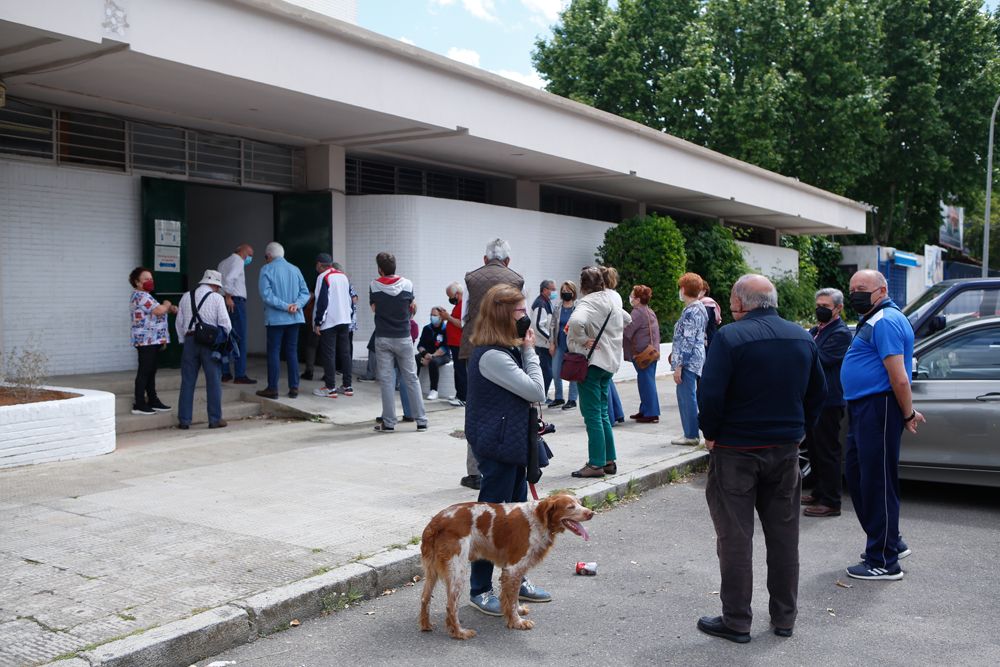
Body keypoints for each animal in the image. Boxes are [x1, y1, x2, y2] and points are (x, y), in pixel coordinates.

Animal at [416, 494, 588, 640]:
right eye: (570, 507)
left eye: (579, 503)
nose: (590, 513)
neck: (537, 518)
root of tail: (435, 522)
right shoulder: (513, 568)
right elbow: (511, 599)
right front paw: (518, 622)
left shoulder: (514, 570)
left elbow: (514, 596)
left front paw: (518, 612)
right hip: (458, 570)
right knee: (450, 606)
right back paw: (460, 633)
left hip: (432, 571)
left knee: (425, 598)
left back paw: (426, 625)